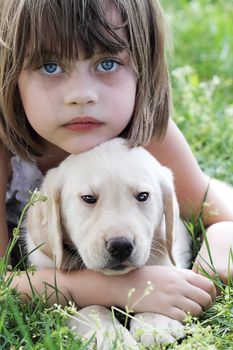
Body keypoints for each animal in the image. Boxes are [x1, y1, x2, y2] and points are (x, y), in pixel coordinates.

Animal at [25, 137, 192, 348]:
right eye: (88, 198)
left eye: (143, 196)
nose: (121, 246)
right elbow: (92, 305)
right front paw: (111, 335)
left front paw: (155, 322)